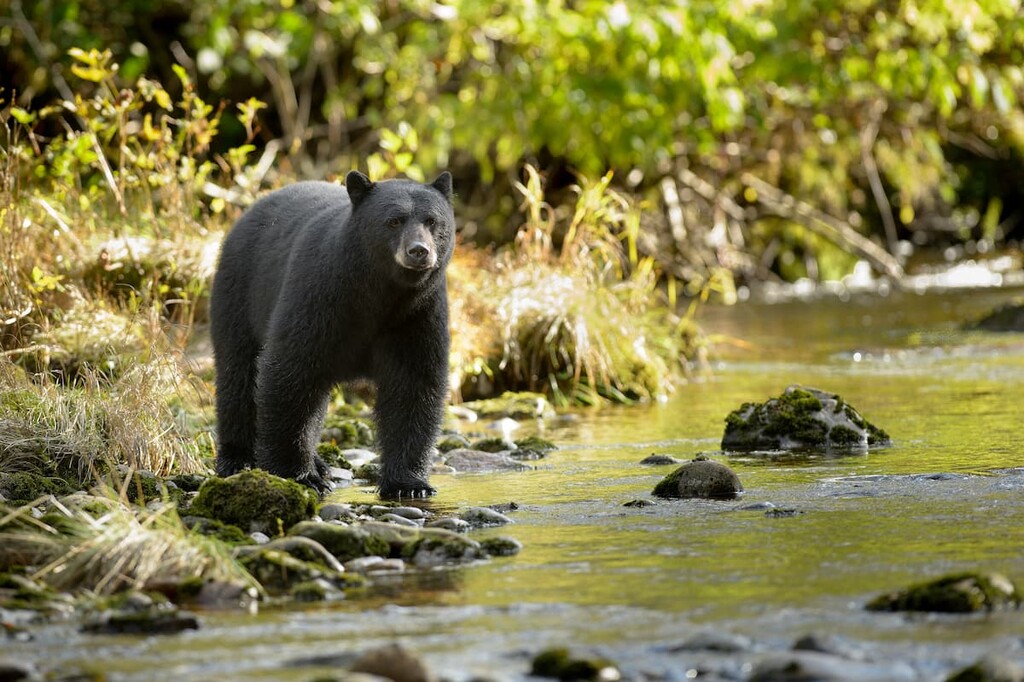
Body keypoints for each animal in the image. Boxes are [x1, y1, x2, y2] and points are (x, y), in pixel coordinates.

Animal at [209, 171, 455, 499]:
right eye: (394, 220)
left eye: (432, 221)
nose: (419, 251)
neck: (379, 292)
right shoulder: (320, 296)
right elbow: (289, 371)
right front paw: (298, 475)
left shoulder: (417, 314)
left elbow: (413, 384)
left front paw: (409, 484)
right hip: (239, 294)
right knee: (238, 374)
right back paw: (238, 458)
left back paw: (319, 462)